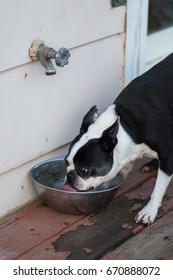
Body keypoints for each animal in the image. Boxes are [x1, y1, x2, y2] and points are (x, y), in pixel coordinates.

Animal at [64, 53, 173, 225]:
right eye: (65, 162)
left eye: (84, 170)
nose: (69, 176)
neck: (127, 124)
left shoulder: (168, 155)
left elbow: (158, 188)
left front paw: (149, 211)